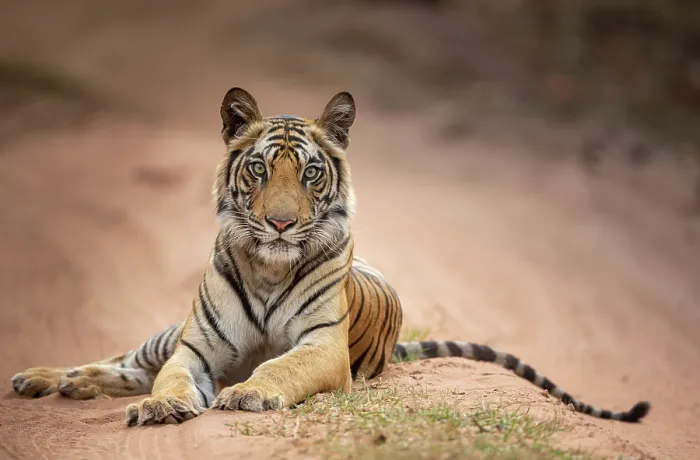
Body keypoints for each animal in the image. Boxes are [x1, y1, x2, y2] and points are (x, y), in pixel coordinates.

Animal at [10, 87, 650, 426]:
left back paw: (70, 387)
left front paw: (248, 392)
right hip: (166, 334)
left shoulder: (322, 347)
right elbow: (168, 379)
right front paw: (163, 406)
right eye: (259, 168)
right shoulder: (194, 347)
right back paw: (46, 379)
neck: (268, 266)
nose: (280, 222)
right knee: (127, 362)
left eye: (310, 173)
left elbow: (279, 366)